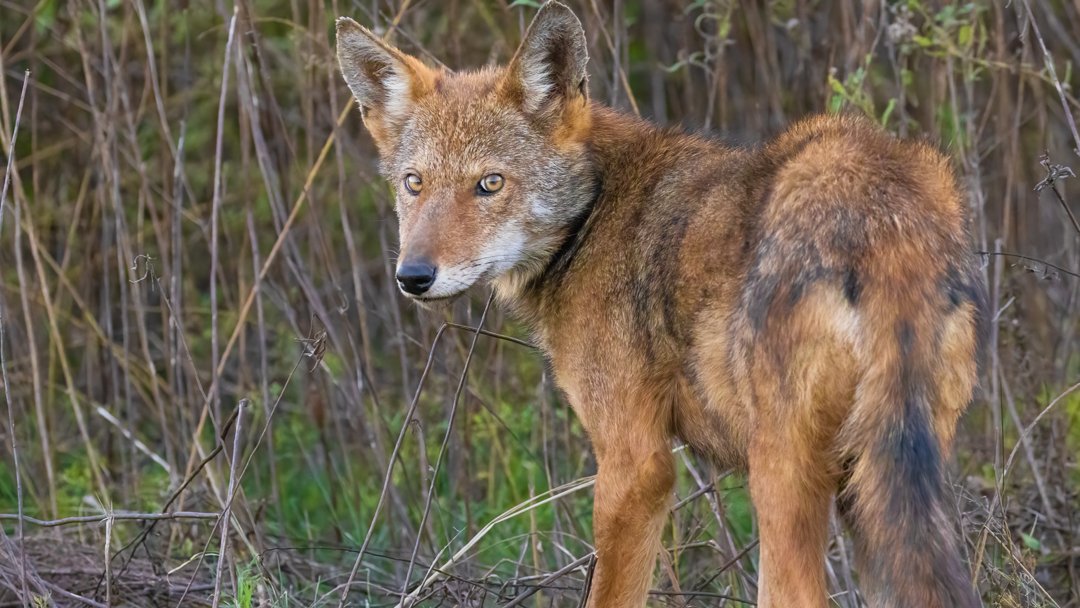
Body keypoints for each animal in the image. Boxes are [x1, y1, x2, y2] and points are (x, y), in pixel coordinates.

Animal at [336, 3, 987, 606]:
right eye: (414, 184)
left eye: (489, 184)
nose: (413, 277)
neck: (594, 211)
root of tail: (884, 218)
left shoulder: (635, 464)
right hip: (881, 491)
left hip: (784, 481)